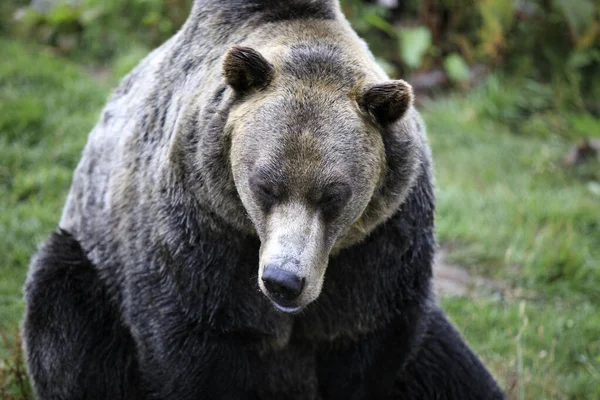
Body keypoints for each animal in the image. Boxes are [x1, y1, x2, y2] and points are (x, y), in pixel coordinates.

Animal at [22, 0, 502, 400]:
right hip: (91, 267)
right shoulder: (200, 231)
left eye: (334, 195)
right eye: (264, 185)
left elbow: (368, 342)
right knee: (65, 317)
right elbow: (189, 348)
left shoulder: (380, 244)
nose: (283, 280)